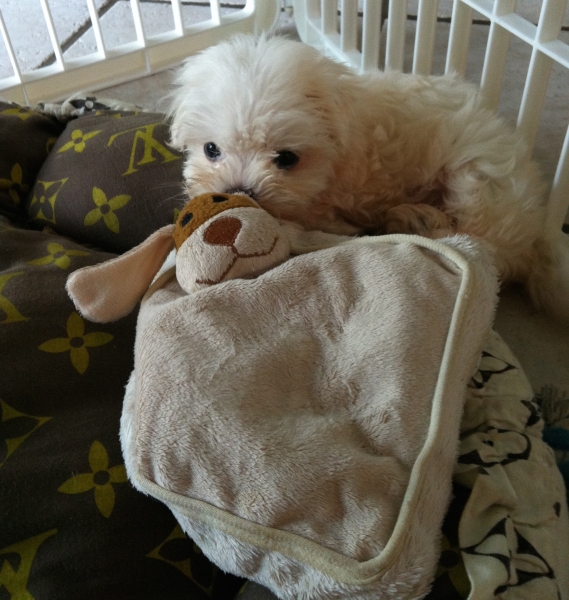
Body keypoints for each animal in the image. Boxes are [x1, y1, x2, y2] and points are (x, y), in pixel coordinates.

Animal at [168, 34, 569, 319]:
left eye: (286, 159)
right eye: (211, 150)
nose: (239, 190)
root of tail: (537, 233)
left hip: (477, 177)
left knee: (483, 245)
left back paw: (419, 221)